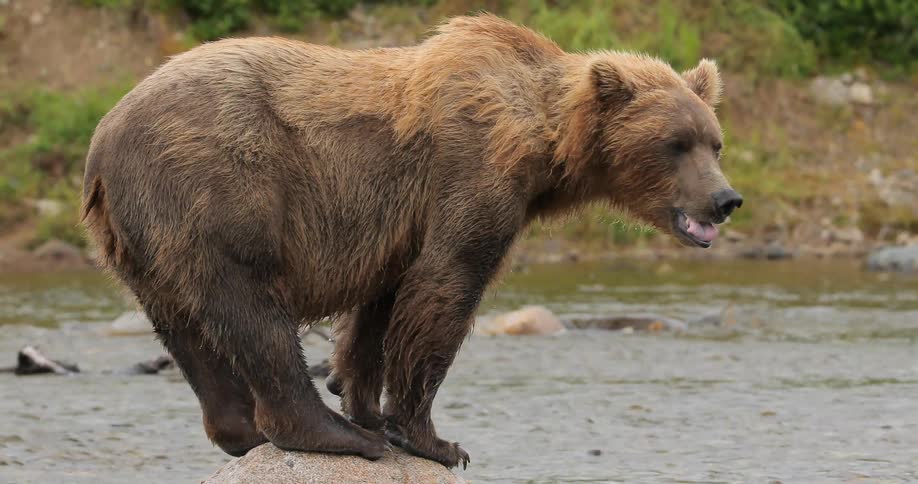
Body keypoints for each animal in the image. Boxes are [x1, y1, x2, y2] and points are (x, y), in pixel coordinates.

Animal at [80, 14, 742, 469]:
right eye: (675, 144)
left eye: (714, 141)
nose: (725, 199)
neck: (544, 145)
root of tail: (102, 140)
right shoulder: (471, 173)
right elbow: (445, 289)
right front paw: (432, 438)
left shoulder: (400, 223)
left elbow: (382, 307)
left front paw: (365, 401)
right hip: (216, 184)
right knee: (251, 309)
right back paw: (332, 434)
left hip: (139, 238)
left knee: (184, 326)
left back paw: (244, 429)